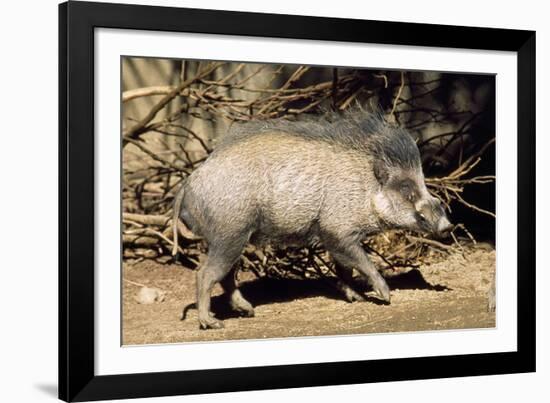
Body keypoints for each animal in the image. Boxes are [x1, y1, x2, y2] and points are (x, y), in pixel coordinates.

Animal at [172, 109, 452, 328]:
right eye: (407, 190)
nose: (448, 226)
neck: (366, 188)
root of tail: (189, 182)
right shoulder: (336, 230)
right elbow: (361, 261)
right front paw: (386, 296)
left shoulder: (336, 237)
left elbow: (345, 268)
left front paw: (357, 298)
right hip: (229, 234)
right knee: (205, 273)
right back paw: (212, 323)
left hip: (232, 238)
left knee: (226, 276)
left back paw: (248, 312)